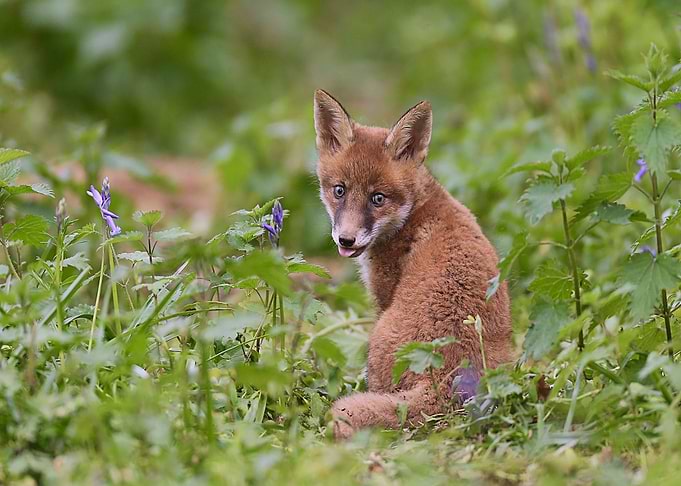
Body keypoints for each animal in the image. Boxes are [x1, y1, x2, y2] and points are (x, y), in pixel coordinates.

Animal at [313, 89, 513, 439]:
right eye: (339, 190)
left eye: (377, 198)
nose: (346, 240)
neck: (414, 212)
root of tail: (446, 379)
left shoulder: (382, 293)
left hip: (378, 338)